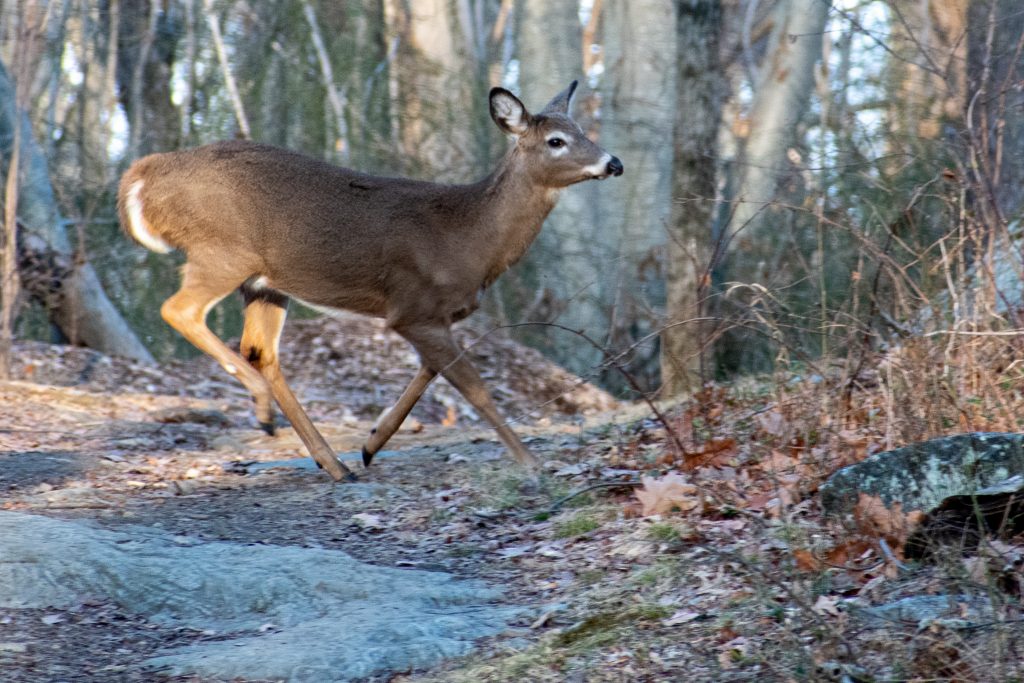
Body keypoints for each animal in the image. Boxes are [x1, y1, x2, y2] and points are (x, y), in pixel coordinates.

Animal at [117, 81, 623, 482]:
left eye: (582, 131)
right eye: (556, 140)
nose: (613, 163)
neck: (467, 237)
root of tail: (142, 174)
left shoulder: (433, 315)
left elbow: (431, 372)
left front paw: (370, 443)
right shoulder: (413, 307)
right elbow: (474, 387)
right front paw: (531, 463)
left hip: (264, 282)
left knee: (260, 351)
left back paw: (331, 461)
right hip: (222, 251)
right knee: (180, 310)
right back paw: (266, 410)